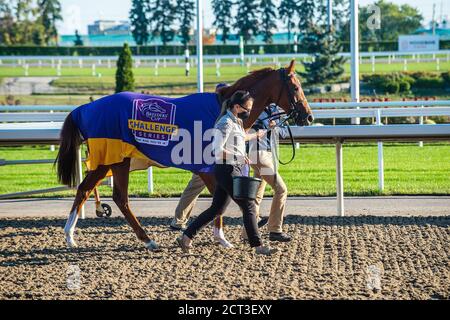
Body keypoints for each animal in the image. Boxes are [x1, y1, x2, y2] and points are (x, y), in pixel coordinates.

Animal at [56, 59, 312, 250]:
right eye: (296, 87)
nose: (308, 116)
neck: (221, 108)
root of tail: (83, 109)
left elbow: (220, 203)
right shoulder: (208, 168)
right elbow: (218, 204)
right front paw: (223, 238)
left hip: (109, 161)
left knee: (84, 189)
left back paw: (70, 236)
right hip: (117, 159)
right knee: (119, 197)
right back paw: (147, 240)